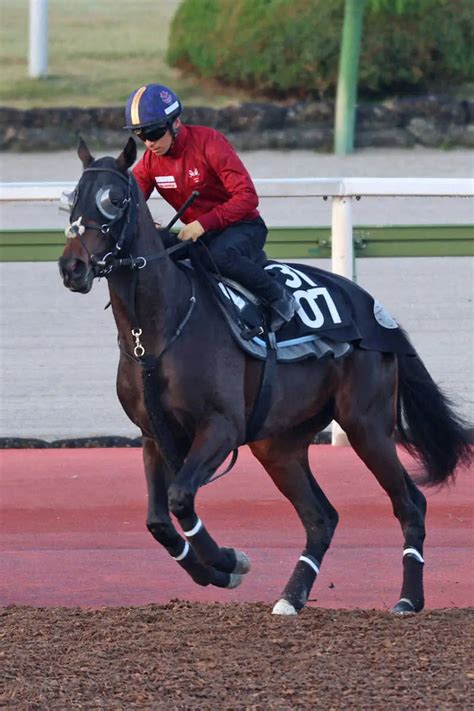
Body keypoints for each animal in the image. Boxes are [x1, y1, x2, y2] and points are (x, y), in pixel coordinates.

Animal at [59, 140, 470, 616]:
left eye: (115, 200)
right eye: (72, 198)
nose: (72, 267)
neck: (158, 331)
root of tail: (376, 308)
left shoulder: (220, 427)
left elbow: (181, 498)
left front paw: (229, 560)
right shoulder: (152, 434)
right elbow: (158, 520)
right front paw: (215, 571)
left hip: (366, 425)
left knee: (410, 503)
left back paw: (407, 598)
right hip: (279, 444)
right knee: (321, 517)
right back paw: (291, 597)